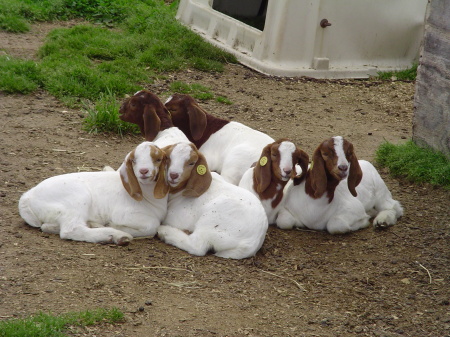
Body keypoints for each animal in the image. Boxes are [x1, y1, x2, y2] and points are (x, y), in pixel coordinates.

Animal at [17, 142, 169, 244]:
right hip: (77, 199)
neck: (147, 195)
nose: (144, 171)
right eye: (134, 160)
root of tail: (26, 197)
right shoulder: (124, 214)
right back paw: (116, 235)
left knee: (48, 226)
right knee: (70, 230)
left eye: (158, 159)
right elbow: (153, 225)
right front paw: (115, 226)